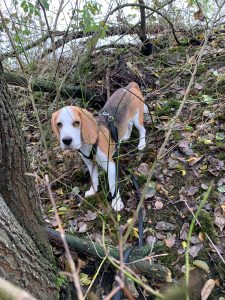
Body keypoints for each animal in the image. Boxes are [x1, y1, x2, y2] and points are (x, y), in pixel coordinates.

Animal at [51, 82, 148, 211]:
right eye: (59, 124)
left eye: (76, 123)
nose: (66, 140)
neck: (88, 144)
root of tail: (130, 87)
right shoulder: (90, 163)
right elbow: (93, 178)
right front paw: (93, 191)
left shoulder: (110, 166)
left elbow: (113, 186)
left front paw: (116, 202)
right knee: (129, 125)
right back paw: (125, 137)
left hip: (137, 118)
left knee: (142, 129)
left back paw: (141, 144)